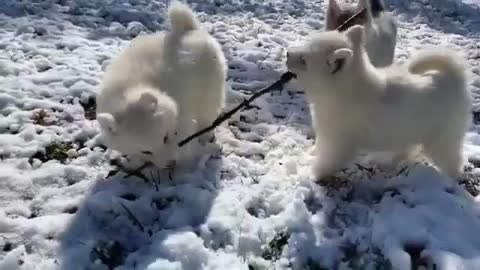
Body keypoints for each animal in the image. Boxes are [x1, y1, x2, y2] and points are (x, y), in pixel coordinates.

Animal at [96, 2, 228, 170]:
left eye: (165, 138)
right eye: (146, 151)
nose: (171, 164)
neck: (127, 91)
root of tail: (188, 29)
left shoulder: (183, 113)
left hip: (210, 92)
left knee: (207, 115)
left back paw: (206, 135)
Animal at [286, 25, 470, 180]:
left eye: (303, 60)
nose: (288, 53)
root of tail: (452, 78)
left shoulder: (338, 142)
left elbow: (327, 161)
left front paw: (314, 175)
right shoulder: (327, 134)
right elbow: (319, 146)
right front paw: (312, 153)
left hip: (442, 140)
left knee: (452, 162)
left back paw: (449, 179)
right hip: (410, 132)